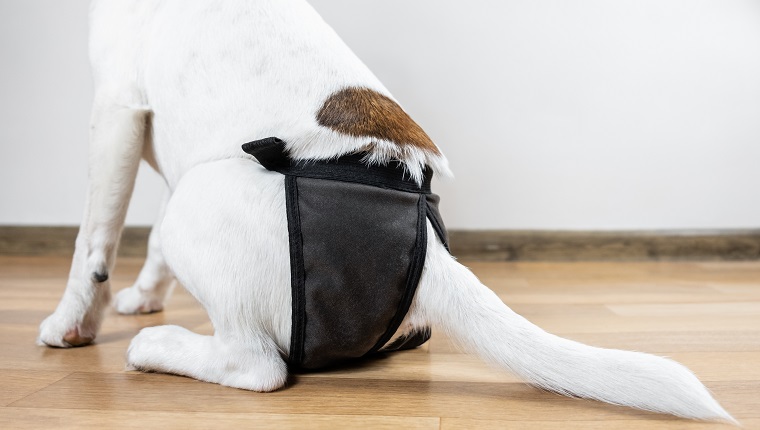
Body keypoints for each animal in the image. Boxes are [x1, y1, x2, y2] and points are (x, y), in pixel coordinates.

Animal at [37, 0, 736, 424]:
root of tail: (430, 260)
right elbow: (144, 240)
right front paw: (143, 295)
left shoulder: (115, 110)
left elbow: (91, 240)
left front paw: (73, 324)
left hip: (199, 205)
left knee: (256, 366)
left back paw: (160, 347)